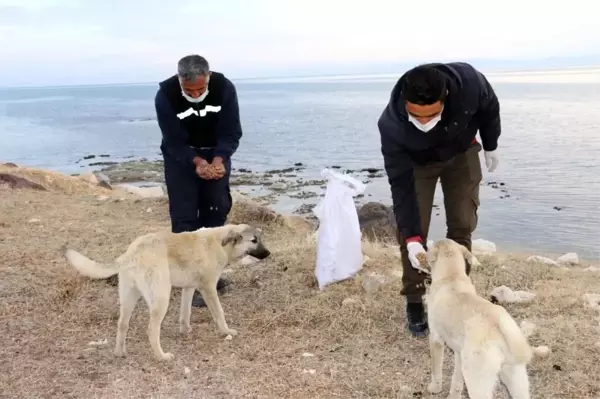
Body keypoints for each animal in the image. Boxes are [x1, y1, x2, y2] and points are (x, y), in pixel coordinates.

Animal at [63, 225, 270, 362]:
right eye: (254, 240)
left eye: (260, 239)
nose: (268, 254)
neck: (220, 242)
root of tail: (132, 253)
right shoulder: (208, 288)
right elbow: (219, 312)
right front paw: (226, 331)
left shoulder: (189, 288)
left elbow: (185, 313)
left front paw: (185, 330)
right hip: (161, 298)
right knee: (152, 329)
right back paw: (161, 356)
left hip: (129, 298)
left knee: (122, 324)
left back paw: (120, 352)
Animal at [424, 239, 548, 398]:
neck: (452, 276)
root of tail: (498, 323)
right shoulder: (459, 354)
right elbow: (456, 381)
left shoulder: (436, 339)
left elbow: (436, 369)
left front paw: (434, 388)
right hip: (516, 378)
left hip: (477, 380)